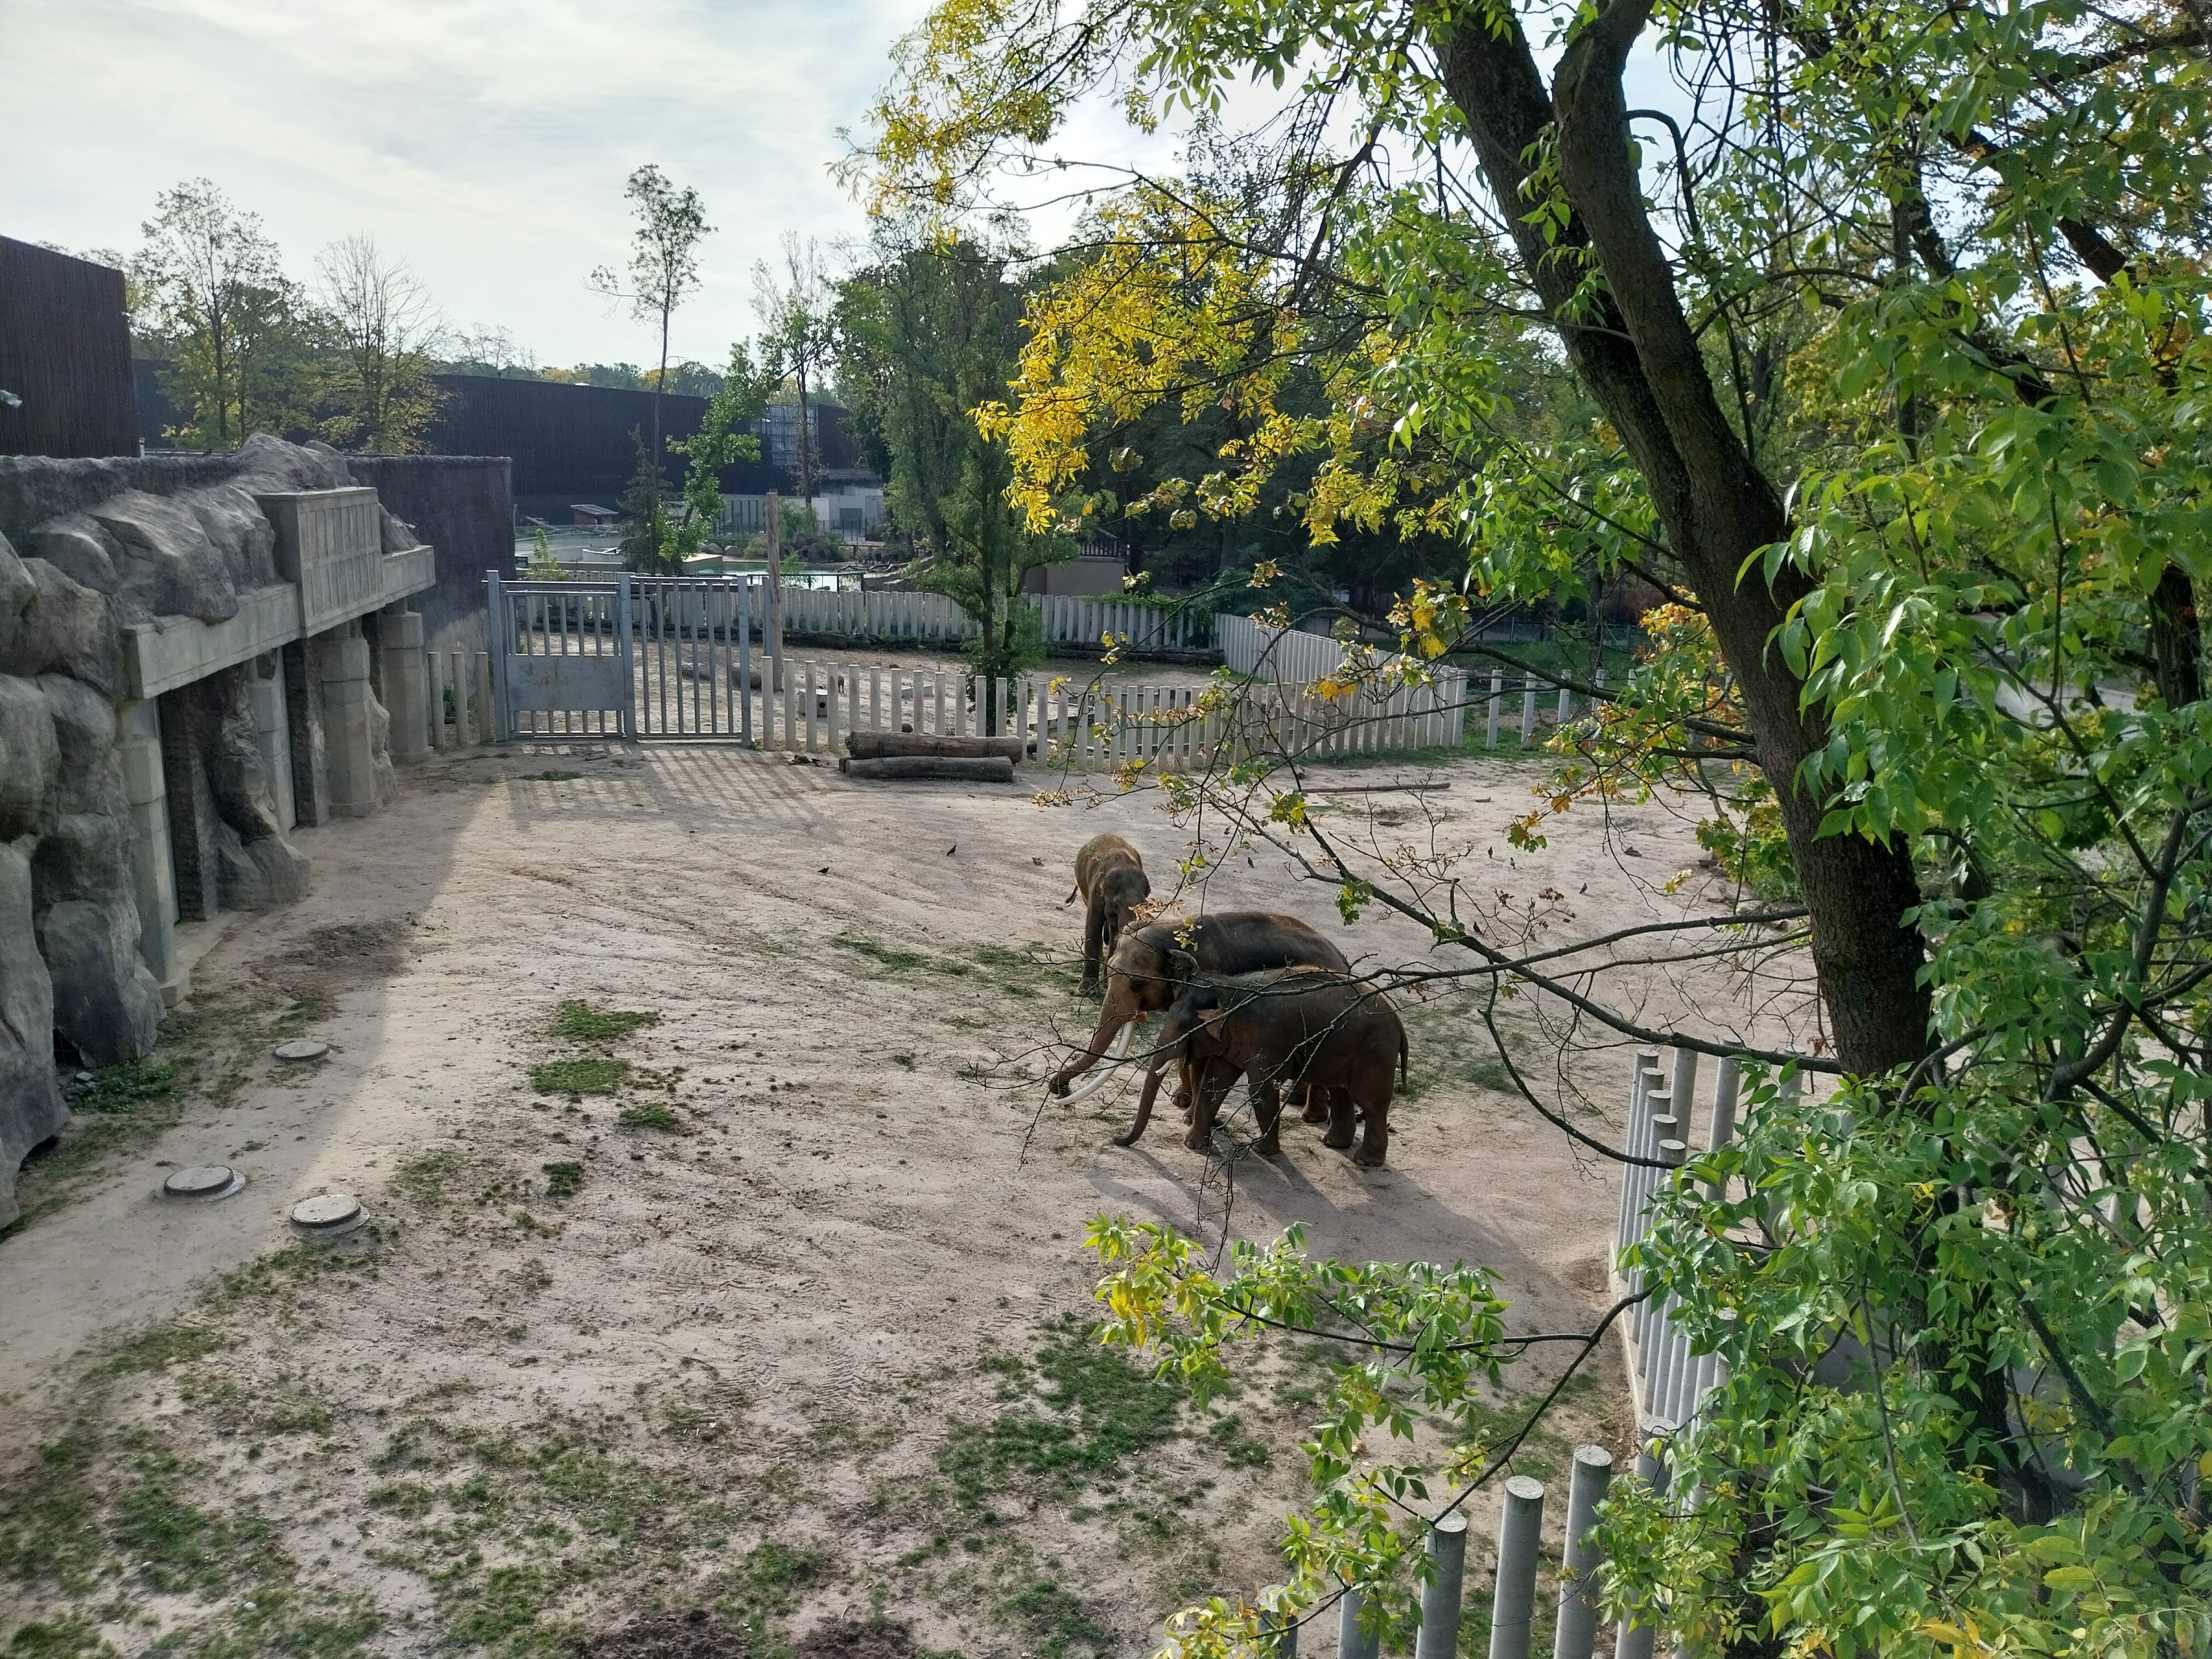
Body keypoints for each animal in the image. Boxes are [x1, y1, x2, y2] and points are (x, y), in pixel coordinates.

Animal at [1048, 911, 1350, 1101]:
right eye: (1109, 973)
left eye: (1137, 984)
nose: (1058, 1088)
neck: (1174, 928)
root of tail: (1345, 962)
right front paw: (1181, 1100)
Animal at [1069, 833, 1151, 995]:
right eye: (1116, 906)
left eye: (1144, 905)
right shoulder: (1095, 893)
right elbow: (1093, 925)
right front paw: (1087, 990)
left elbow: (1116, 935)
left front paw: (1109, 982)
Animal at [1116, 967, 1407, 1167]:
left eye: (1186, 1027)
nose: (1118, 1139)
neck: (1230, 988)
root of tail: (1398, 1021)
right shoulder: (1231, 1043)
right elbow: (1215, 1082)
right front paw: (1193, 1145)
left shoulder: (1267, 1042)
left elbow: (1261, 1089)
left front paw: (1263, 1151)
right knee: (1341, 1092)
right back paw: (1333, 1144)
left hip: (1375, 1054)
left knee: (1372, 1104)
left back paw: (1365, 1161)